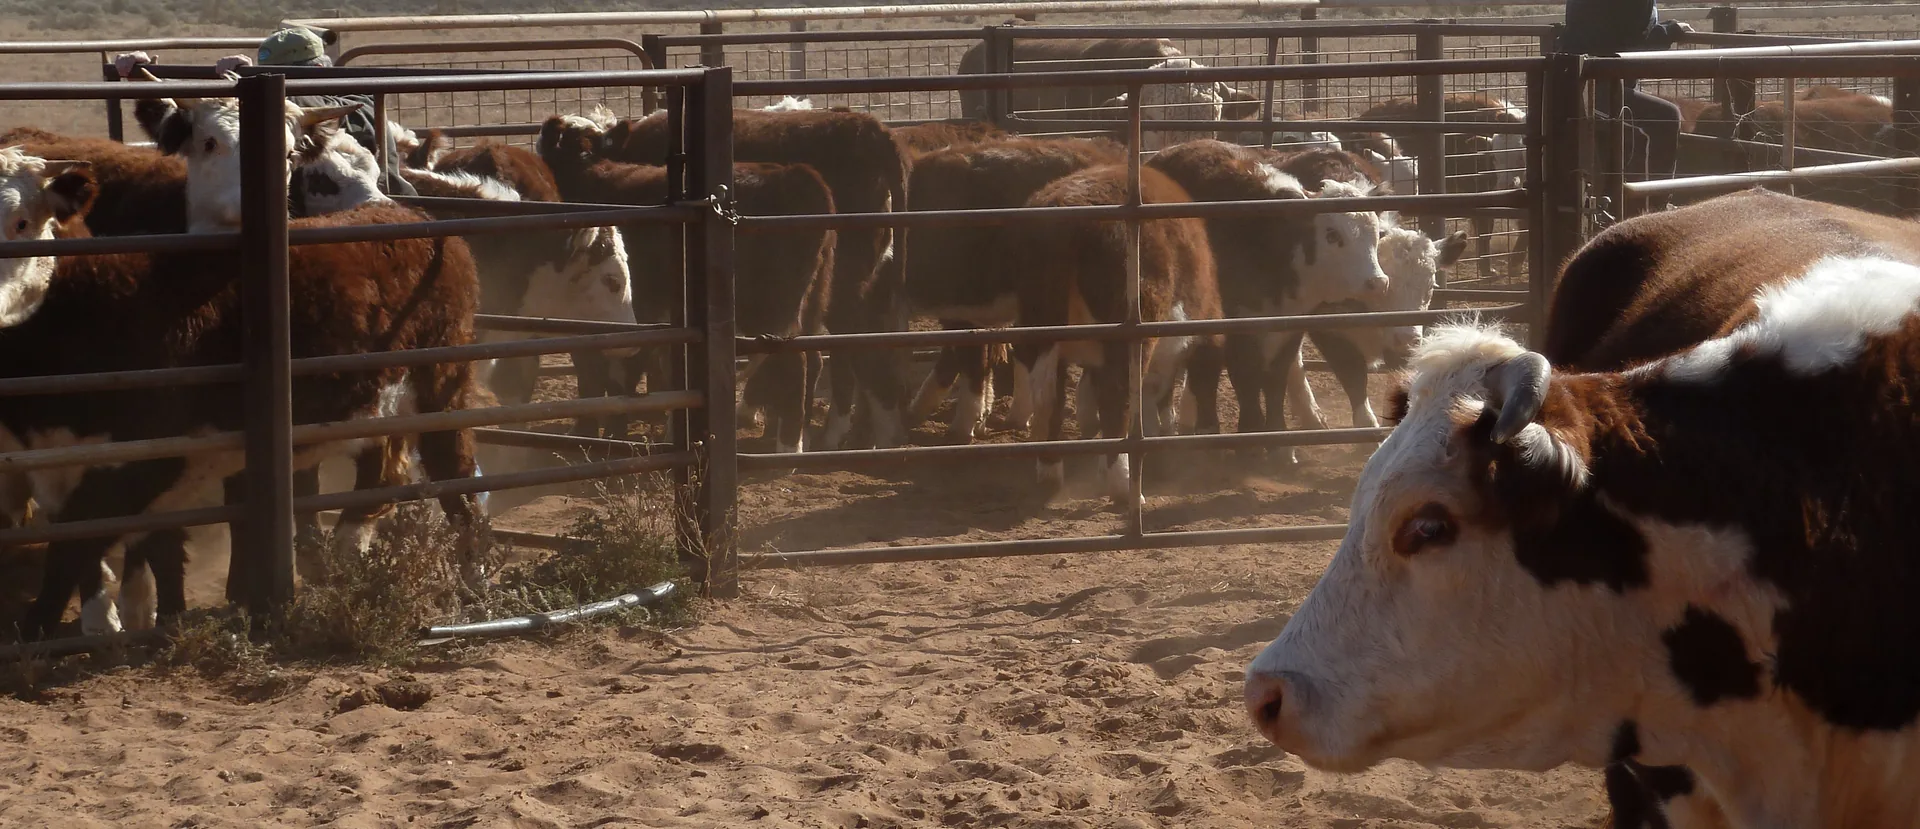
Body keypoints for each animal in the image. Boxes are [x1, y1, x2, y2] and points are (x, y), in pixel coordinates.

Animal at [0, 148, 487, 640]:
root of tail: (412, 217)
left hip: (440, 387)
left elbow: (80, 550)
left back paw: (474, 585)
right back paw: (346, 560)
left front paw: (48, 630)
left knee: (456, 477)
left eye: (21, 222)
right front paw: (143, 620)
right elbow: (131, 547)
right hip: (375, 405)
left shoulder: (144, 459)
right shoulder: (59, 461)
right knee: (379, 478)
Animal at [538, 114, 836, 456]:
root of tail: (795, 175)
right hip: (811, 299)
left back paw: (788, 447)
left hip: (769, 309)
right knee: (810, 358)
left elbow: (601, 372)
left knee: (792, 364)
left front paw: (591, 432)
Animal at [1007, 163, 1223, 499]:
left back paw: (1050, 472)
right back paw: (1123, 484)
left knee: (1050, 397)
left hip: (1039, 326)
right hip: (1129, 329)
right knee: (1117, 397)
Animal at [1142, 140, 1389, 465]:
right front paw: (1250, 438)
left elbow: (1275, 380)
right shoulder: (1236, 327)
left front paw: (1279, 444)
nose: (1378, 282)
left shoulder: (1290, 326)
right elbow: (1245, 378)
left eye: (1377, 233)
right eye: (1332, 234)